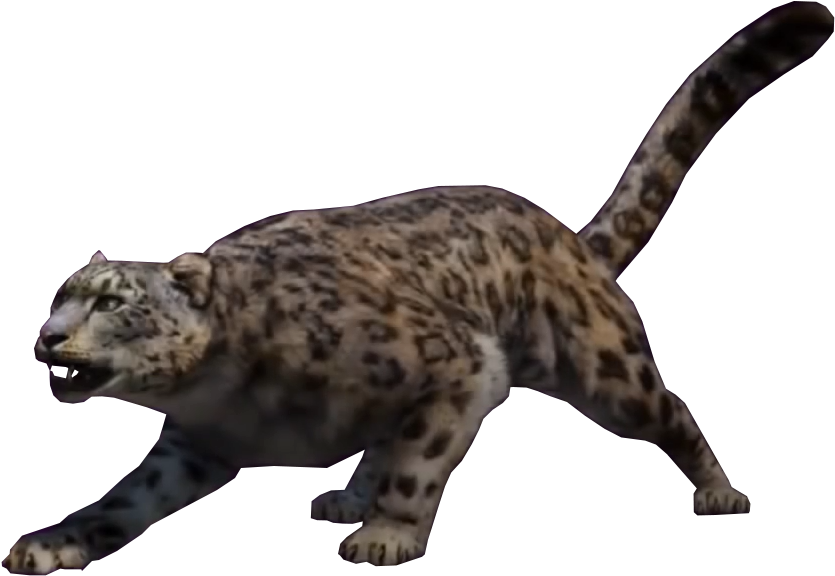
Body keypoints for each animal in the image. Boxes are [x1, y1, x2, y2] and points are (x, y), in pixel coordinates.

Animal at [5, 3, 832, 572]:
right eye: (58, 295)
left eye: (112, 301)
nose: (46, 336)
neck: (225, 395)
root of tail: (563, 237)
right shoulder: (188, 446)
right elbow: (120, 503)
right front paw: (52, 541)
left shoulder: (457, 362)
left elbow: (419, 461)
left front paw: (388, 533)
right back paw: (346, 495)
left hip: (608, 372)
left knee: (673, 412)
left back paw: (718, 490)